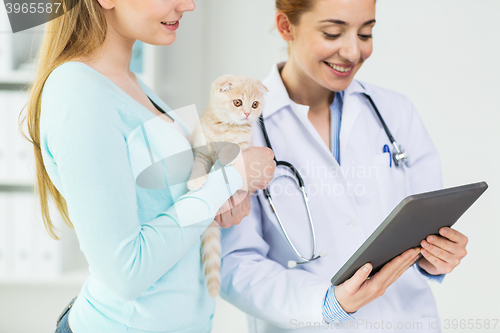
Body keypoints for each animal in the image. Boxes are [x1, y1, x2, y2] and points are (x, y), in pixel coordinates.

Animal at [188, 73, 268, 296]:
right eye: (237, 102)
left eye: (255, 104)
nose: (248, 113)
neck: (225, 127)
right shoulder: (201, 152)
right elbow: (198, 167)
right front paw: (195, 181)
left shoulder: (244, 145)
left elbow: (233, 148)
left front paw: (225, 156)